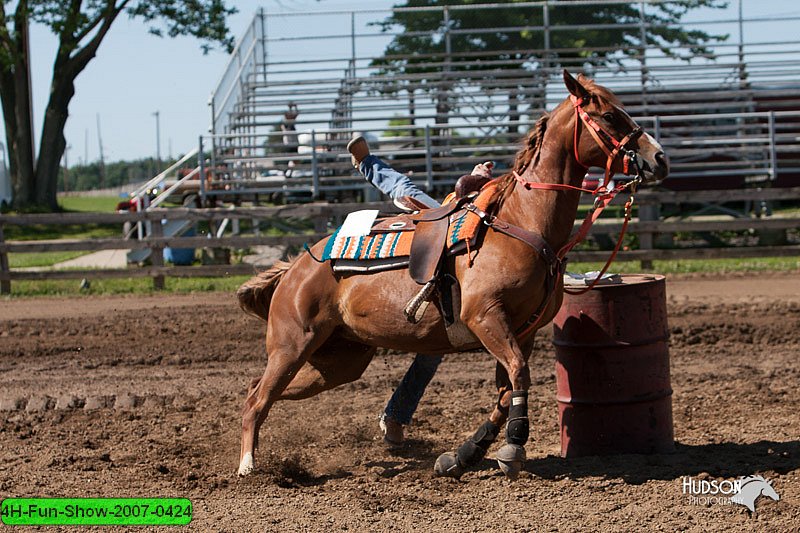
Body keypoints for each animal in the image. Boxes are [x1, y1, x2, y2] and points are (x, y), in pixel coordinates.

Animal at [236, 70, 668, 478]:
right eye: (610, 115)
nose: (660, 158)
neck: (520, 221)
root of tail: (295, 267)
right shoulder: (485, 317)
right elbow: (519, 374)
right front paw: (513, 447)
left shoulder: (523, 330)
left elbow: (506, 389)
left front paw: (462, 457)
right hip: (293, 345)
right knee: (257, 400)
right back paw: (248, 468)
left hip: (338, 361)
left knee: (259, 391)